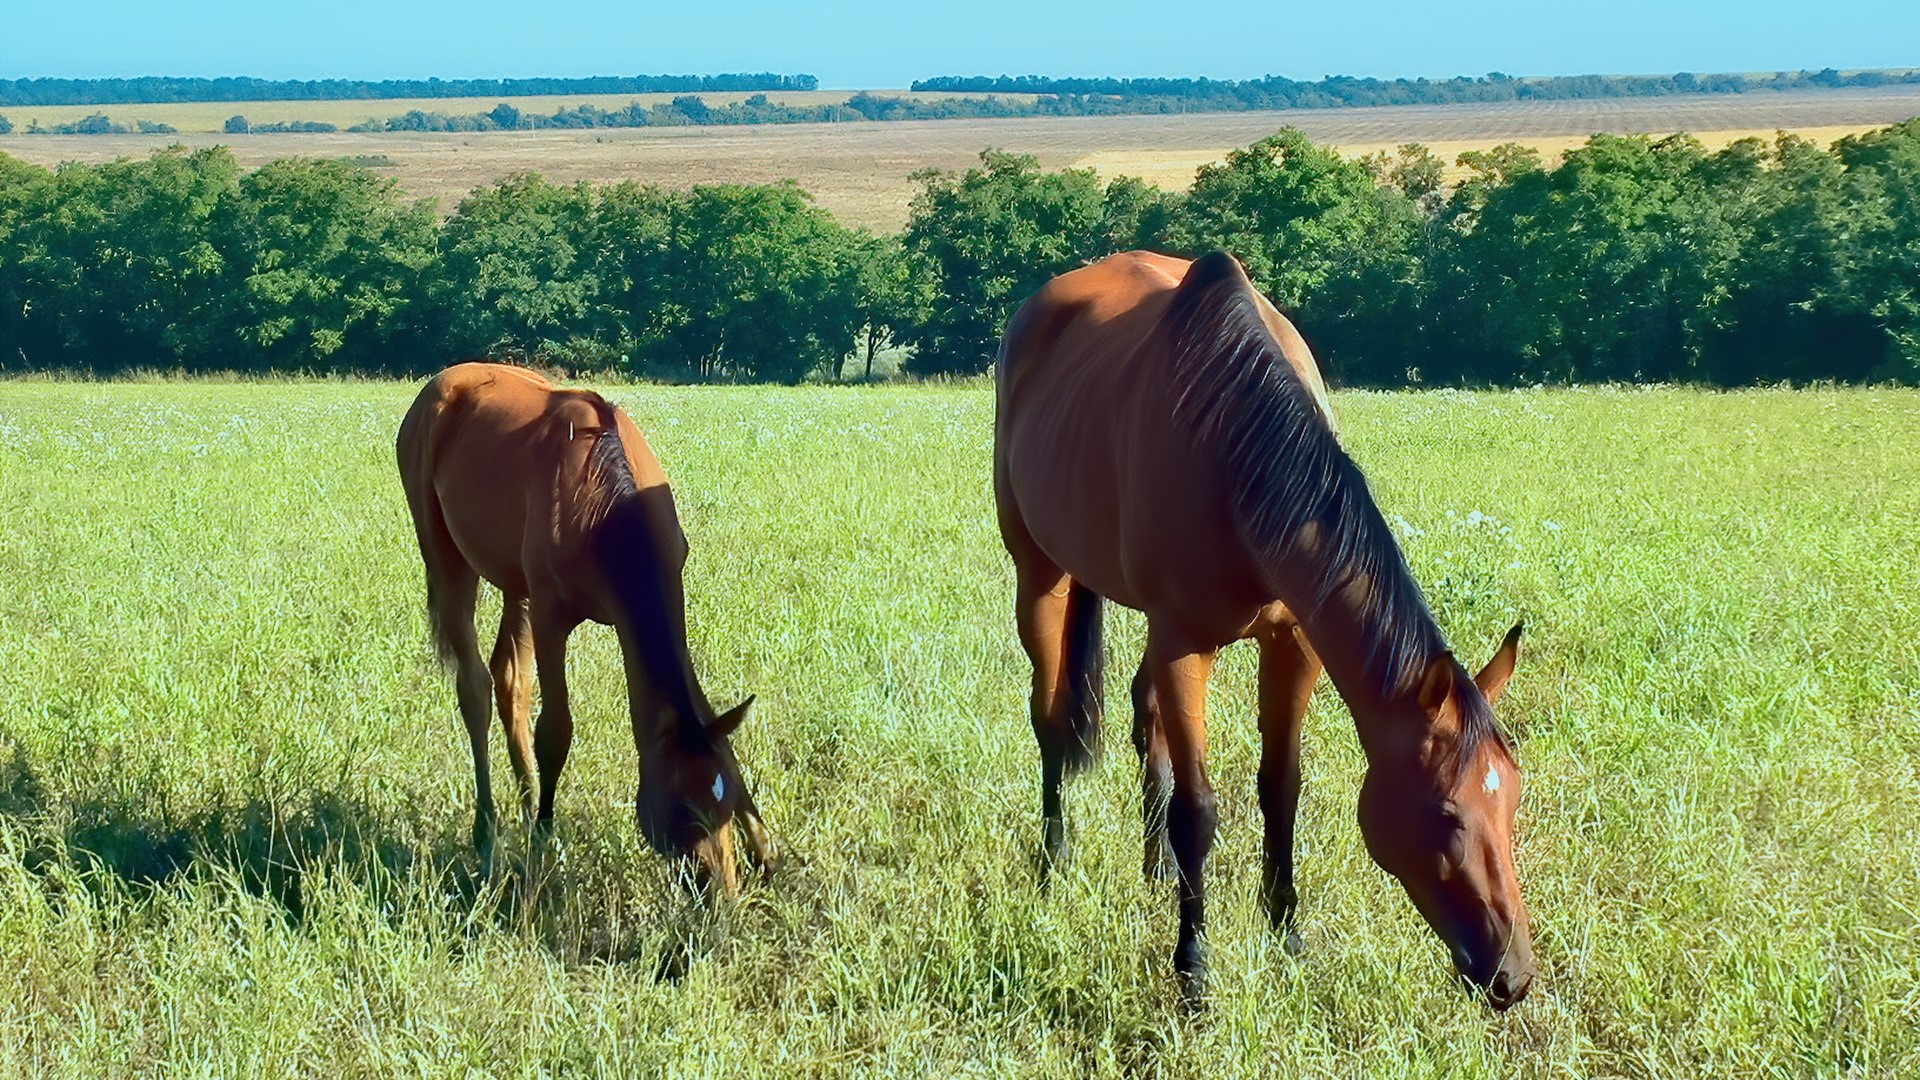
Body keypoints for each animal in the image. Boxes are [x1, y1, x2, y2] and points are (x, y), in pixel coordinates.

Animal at [396, 362, 775, 893]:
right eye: (682, 808)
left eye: (726, 794)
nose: (720, 889)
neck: (607, 506)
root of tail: (442, 383)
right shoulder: (551, 615)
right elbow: (555, 733)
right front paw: (543, 850)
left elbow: (702, 711)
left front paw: (764, 846)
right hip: (446, 557)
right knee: (475, 686)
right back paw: (489, 836)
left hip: (516, 584)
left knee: (509, 680)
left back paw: (527, 804)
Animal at [994, 250, 1533, 1008]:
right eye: (1446, 816)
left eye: (1510, 800)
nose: (1513, 975)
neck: (1233, 443)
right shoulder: (1184, 643)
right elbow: (1198, 809)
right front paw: (1194, 970)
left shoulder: (1293, 645)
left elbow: (1281, 787)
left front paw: (1287, 937)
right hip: (1040, 574)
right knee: (1049, 718)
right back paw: (1053, 865)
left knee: (1144, 716)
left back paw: (1156, 869)